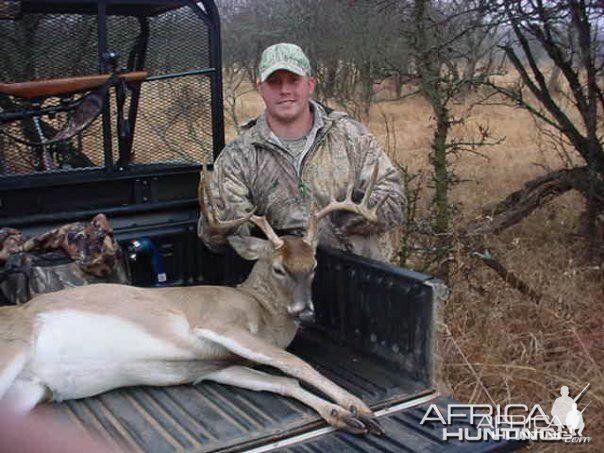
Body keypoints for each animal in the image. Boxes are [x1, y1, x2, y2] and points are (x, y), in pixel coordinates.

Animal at [0, 162, 386, 434]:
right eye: (278, 268)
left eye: (314, 265)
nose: (305, 313)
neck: (260, 310)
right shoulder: (217, 322)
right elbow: (294, 363)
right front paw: (359, 406)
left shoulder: (218, 367)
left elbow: (283, 380)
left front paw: (343, 415)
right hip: (13, 350)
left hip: (27, 393)